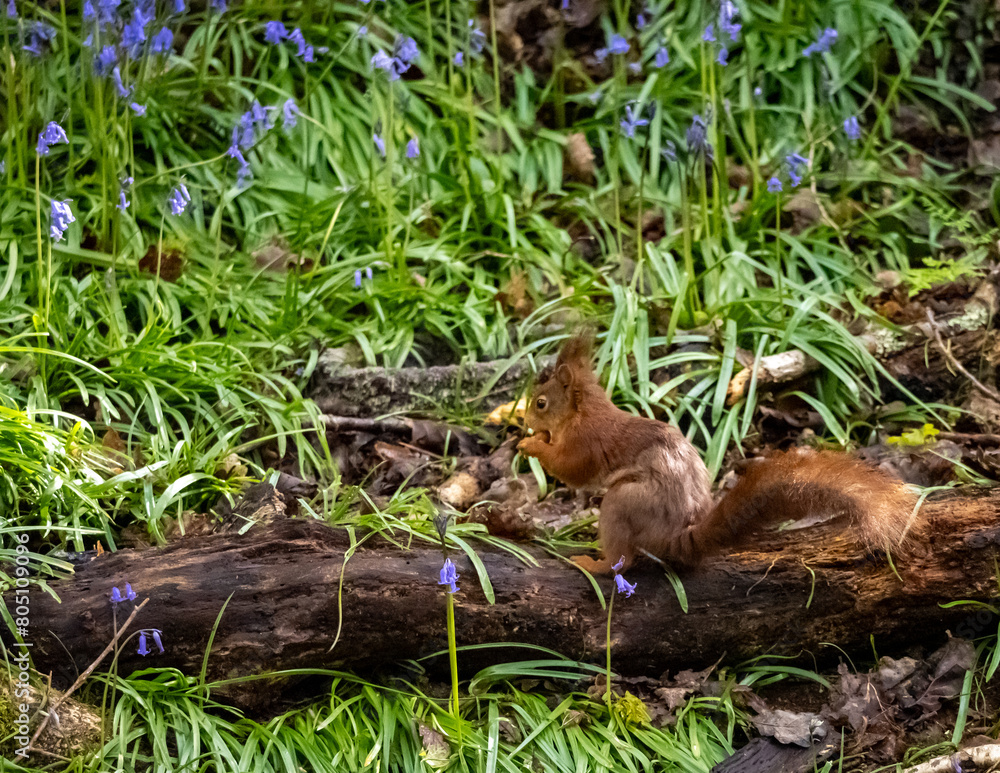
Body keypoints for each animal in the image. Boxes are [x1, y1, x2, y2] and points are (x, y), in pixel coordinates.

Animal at [520, 334, 916, 572]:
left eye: (541, 403)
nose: (524, 421)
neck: (584, 411)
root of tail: (676, 539)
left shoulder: (588, 440)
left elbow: (572, 467)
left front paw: (531, 445)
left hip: (624, 502)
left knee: (624, 559)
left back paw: (594, 564)